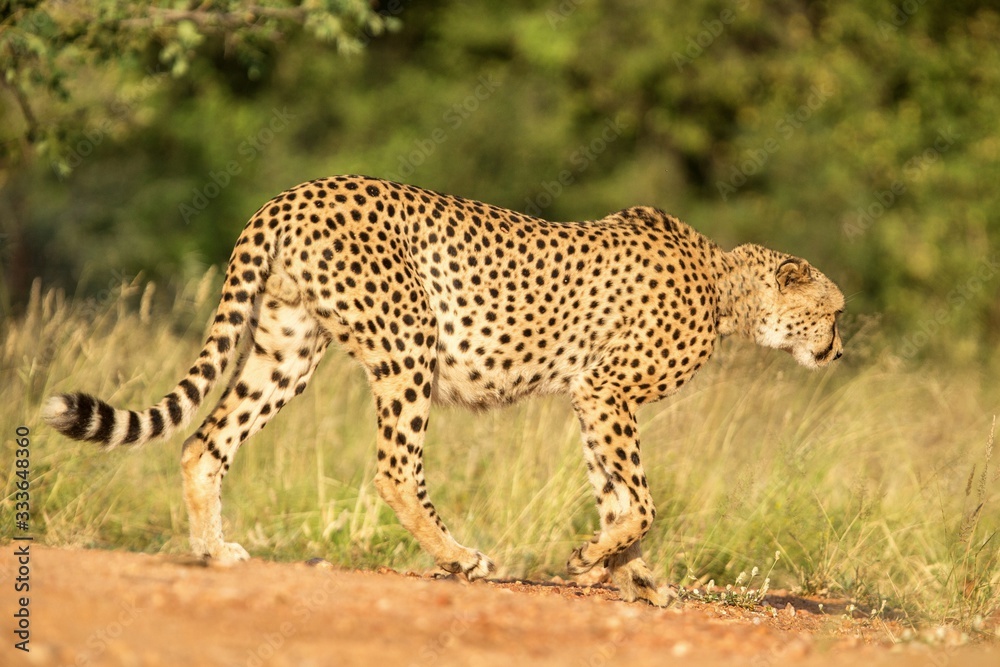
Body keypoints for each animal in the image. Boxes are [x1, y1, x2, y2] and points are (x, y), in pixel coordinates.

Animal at [43, 175, 845, 606]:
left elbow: (616, 496)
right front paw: (603, 563)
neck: (725, 287)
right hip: (410, 342)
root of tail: (294, 192)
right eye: (834, 310)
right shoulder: (607, 389)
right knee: (396, 469)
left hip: (288, 347)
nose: (838, 349)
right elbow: (641, 501)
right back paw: (460, 558)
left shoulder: (589, 397)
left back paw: (213, 551)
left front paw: (622, 572)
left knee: (205, 440)